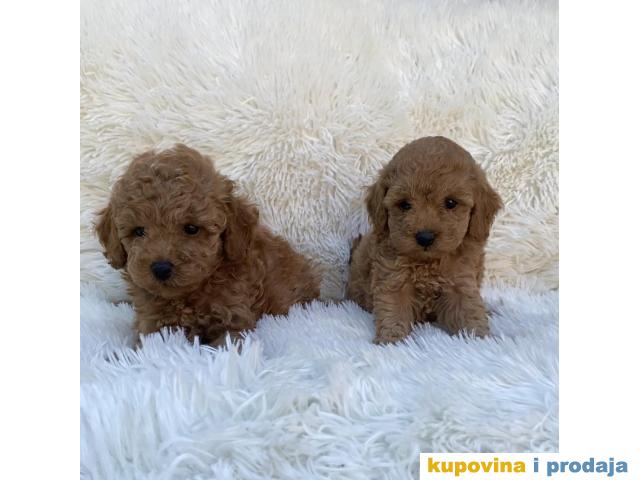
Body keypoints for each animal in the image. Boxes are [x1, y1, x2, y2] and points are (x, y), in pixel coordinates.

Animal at [346, 136, 502, 343]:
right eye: (404, 204)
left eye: (450, 203)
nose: (425, 237)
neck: (429, 263)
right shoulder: (393, 279)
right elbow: (393, 312)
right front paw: (390, 340)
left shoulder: (461, 281)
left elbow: (469, 311)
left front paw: (480, 338)